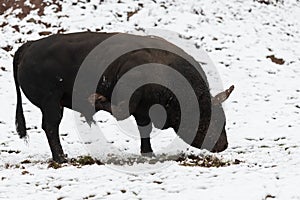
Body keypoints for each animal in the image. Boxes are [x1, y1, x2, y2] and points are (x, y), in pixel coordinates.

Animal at [13, 31, 234, 162]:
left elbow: (144, 129)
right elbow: (120, 111)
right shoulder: (130, 99)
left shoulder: (144, 109)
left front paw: (148, 152)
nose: (224, 145)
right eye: (211, 117)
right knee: (51, 127)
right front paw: (96, 99)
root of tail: (30, 45)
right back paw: (61, 157)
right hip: (51, 104)